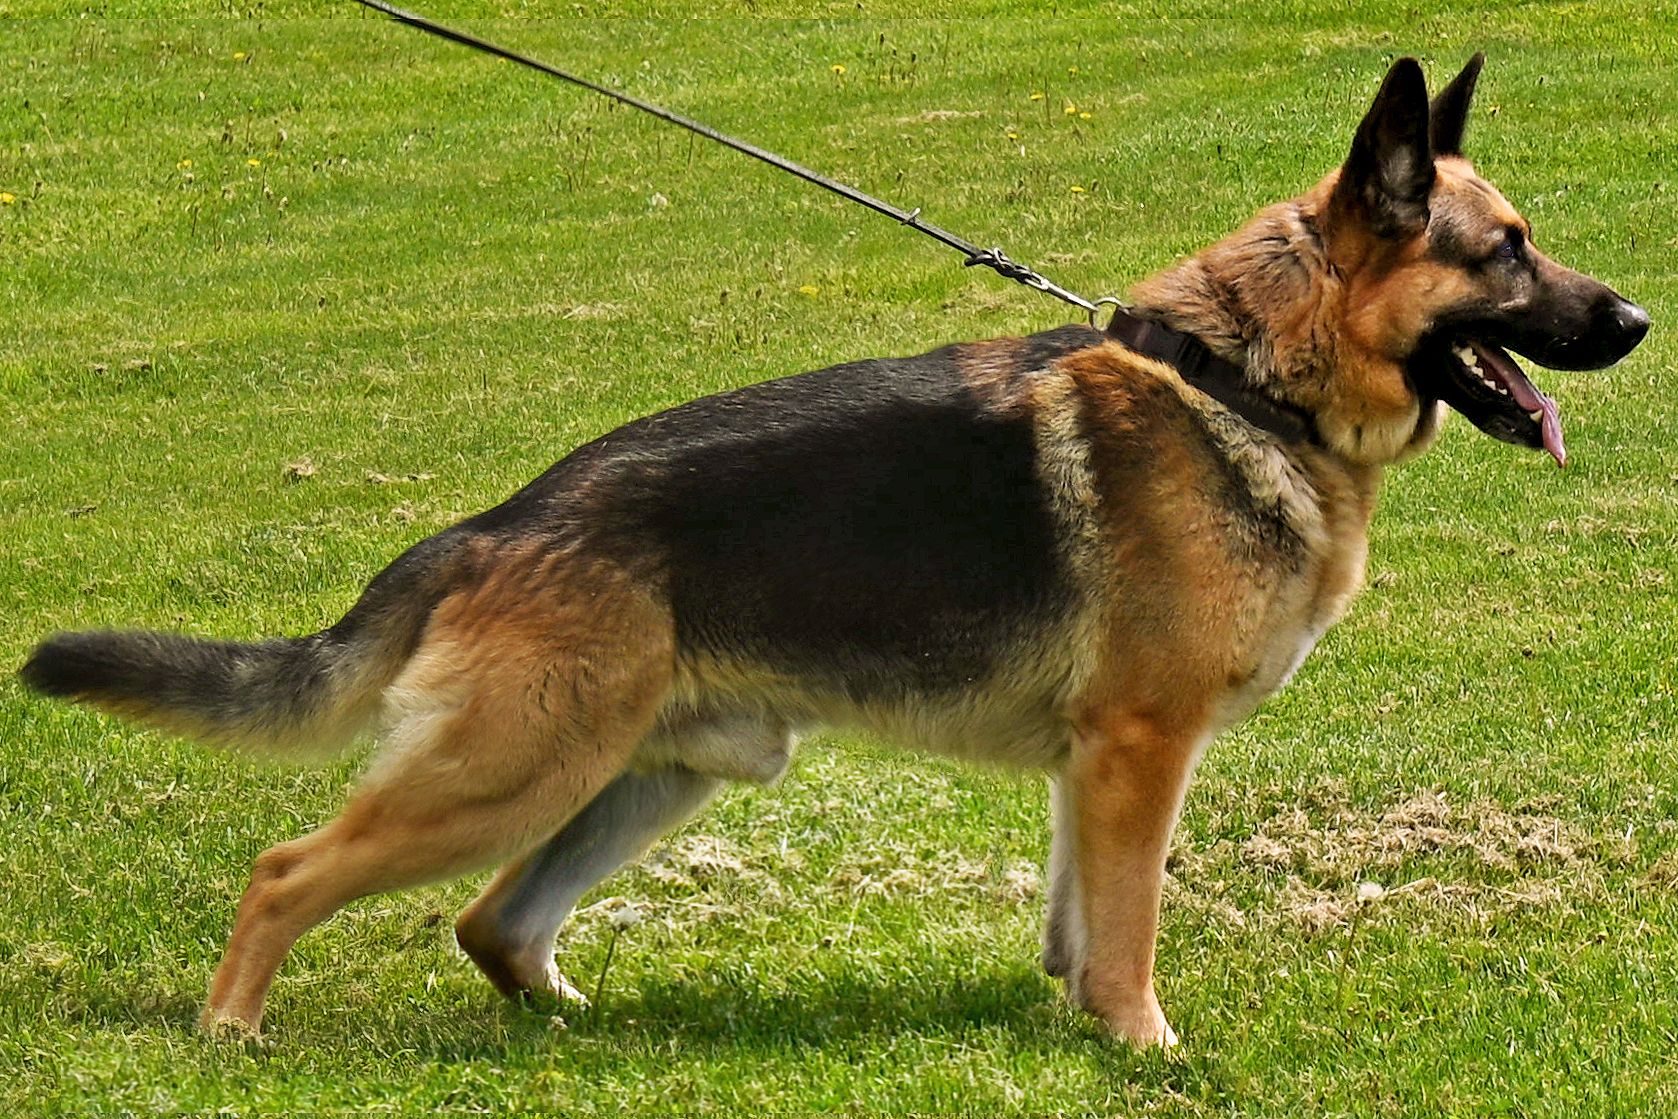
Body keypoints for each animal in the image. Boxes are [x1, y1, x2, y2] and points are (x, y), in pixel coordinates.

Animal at [22, 57, 1651, 1046]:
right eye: (1503, 251)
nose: (1636, 320)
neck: (1248, 378)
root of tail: (496, 523)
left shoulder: (1095, 763)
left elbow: (1079, 917)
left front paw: (1078, 1023)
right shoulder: (1140, 746)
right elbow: (1127, 923)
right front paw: (1143, 1045)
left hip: (642, 777)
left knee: (493, 922)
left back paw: (578, 1028)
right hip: (508, 771)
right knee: (286, 869)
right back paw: (231, 1030)